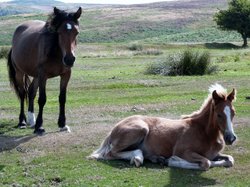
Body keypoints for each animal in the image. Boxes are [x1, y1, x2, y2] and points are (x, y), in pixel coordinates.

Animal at [6, 6, 82, 134]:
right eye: (59, 32)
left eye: (76, 32)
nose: (69, 59)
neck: (57, 53)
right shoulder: (43, 75)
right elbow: (42, 99)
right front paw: (40, 126)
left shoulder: (66, 75)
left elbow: (62, 98)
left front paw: (62, 124)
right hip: (20, 73)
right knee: (22, 94)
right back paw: (22, 122)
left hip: (36, 75)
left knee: (31, 92)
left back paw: (32, 120)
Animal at [89, 84, 237, 170]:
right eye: (218, 114)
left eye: (234, 112)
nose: (231, 138)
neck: (204, 133)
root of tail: (113, 129)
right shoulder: (183, 151)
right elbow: (206, 163)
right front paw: (172, 161)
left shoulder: (215, 154)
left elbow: (229, 160)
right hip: (140, 129)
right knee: (110, 153)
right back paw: (138, 158)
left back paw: (156, 158)